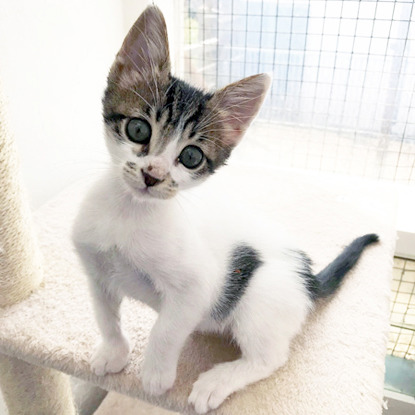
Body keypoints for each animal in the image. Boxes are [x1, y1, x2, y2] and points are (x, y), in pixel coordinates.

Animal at [72, 7, 380, 415]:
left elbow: (165, 330)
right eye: (138, 129)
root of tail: (308, 279)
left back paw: (218, 380)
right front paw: (113, 352)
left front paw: (155, 375)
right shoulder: (96, 271)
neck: (130, 213)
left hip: (261, 296)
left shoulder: (197, 287)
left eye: (191, 157)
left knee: (270, 358)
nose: (153, 175)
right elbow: (105, 315)